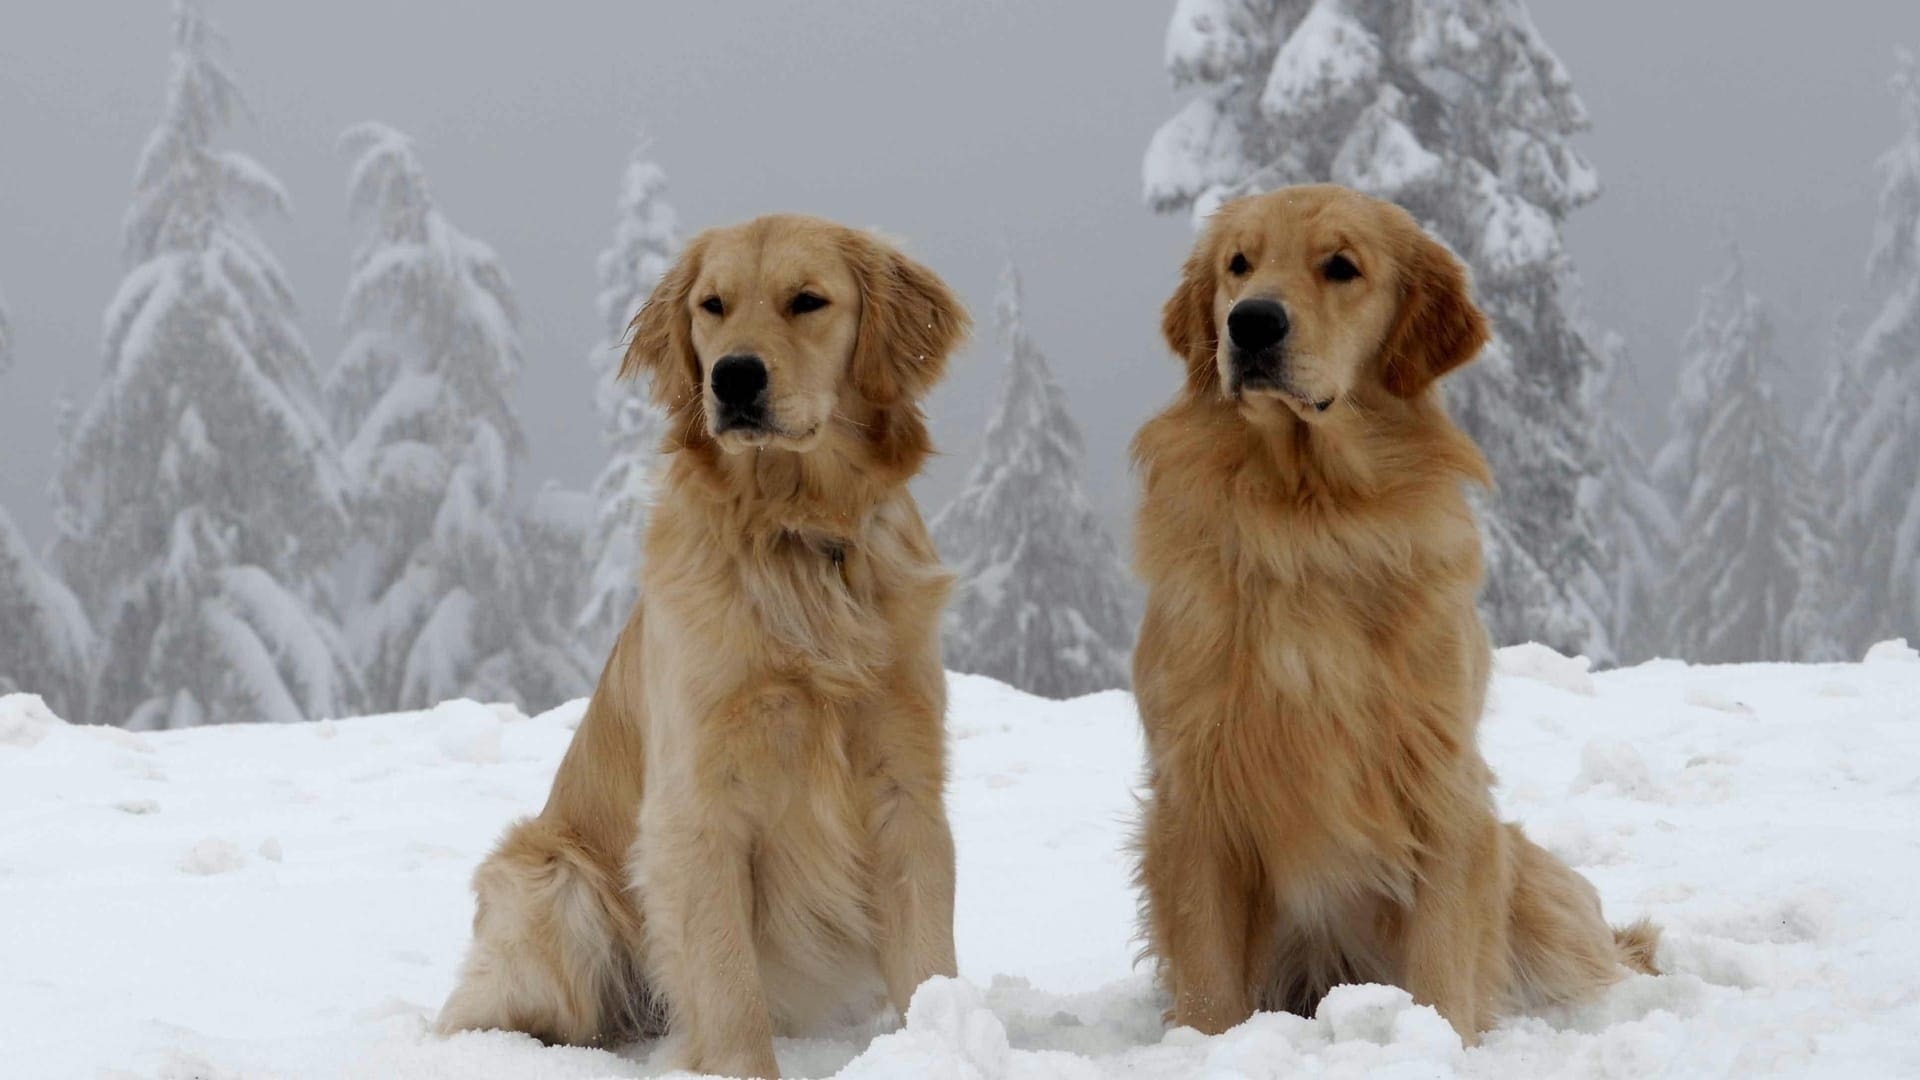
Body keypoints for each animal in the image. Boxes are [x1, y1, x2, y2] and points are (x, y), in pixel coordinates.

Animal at [441, 214, 967, 1068]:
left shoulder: (906, 786)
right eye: (712, 306)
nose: (734, 378)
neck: (794, 536)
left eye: (807, 300)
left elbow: (929, 966)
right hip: (553, 881)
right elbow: (727, 989)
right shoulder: (695, 808)